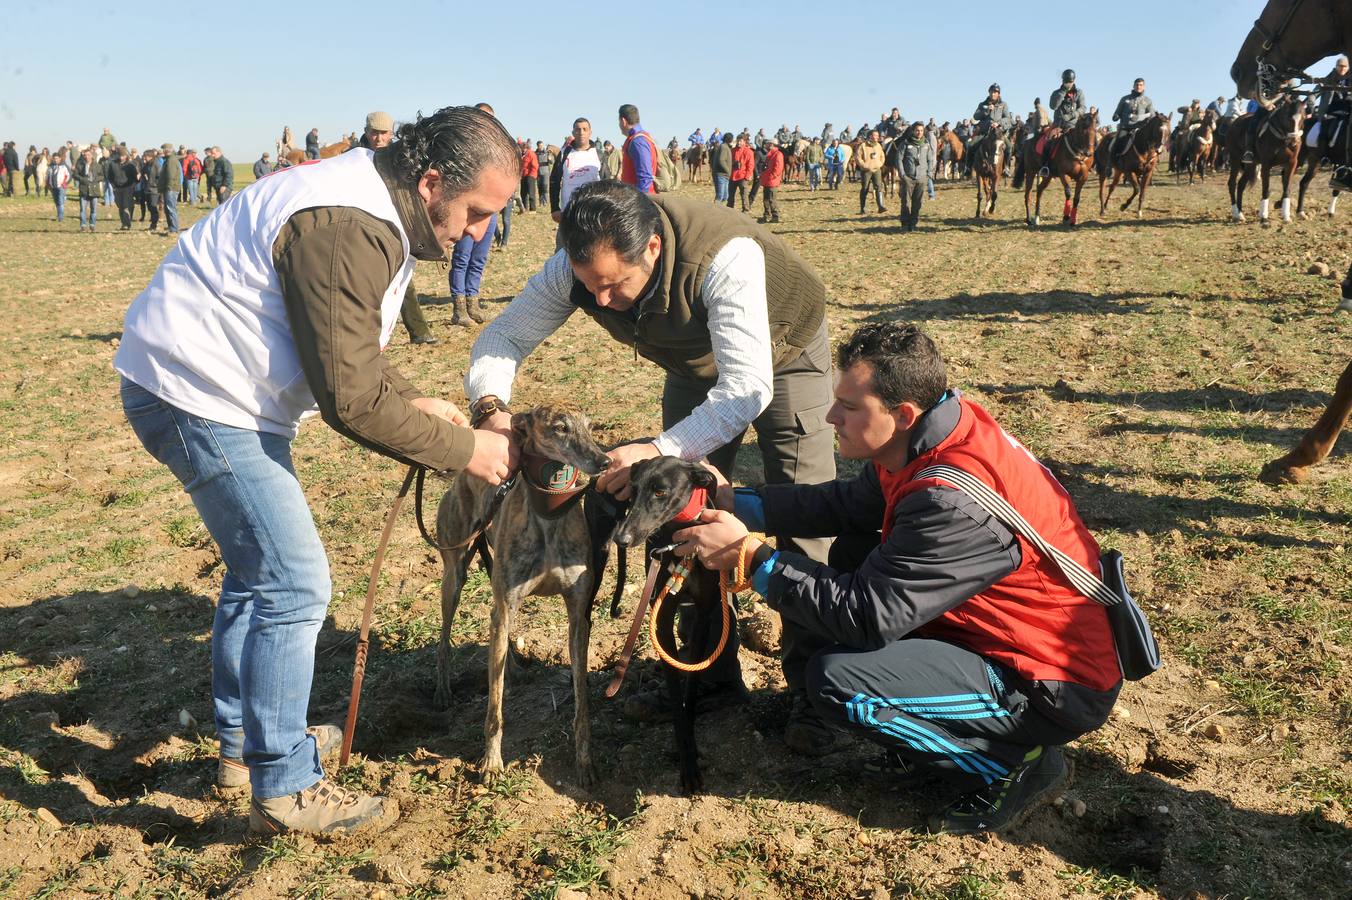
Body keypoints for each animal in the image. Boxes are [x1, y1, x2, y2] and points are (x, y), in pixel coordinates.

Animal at [1222, 94, 1303, 224]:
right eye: (1288, 118)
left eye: (1303, 118)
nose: (1294, 143)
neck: (1281, 138)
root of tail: (1234, 123)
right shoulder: (1266, 164)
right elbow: (1266, 188)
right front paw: (1264, 216)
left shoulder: (1291, 163)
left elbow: (1287, 189)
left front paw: (1286, 216)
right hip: (1235, 159)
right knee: (1232, 183)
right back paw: (1235, 213)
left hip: (1251, 165)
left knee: (1241, 185)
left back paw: (1240, 213)